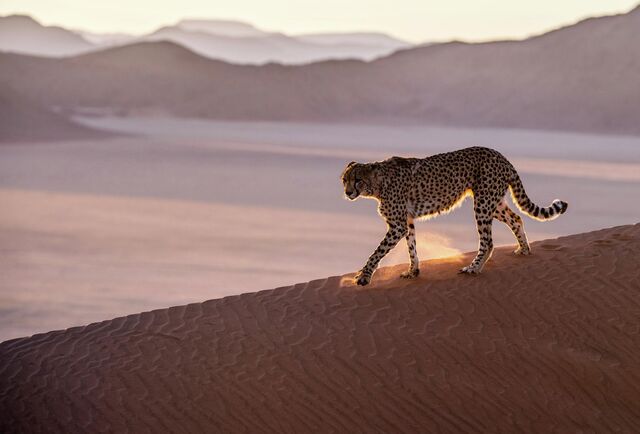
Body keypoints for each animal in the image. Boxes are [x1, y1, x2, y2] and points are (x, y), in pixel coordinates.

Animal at [341, 146, 568, 286]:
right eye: (344, 180)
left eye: (358, 180)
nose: (348, 192)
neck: (377, 184)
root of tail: (499, 155)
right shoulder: (407, 221)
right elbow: (411, 246)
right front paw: (413, 271)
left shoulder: (397, 225)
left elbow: (377, 252)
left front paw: (363, 276)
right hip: (493, 202)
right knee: (516, 219)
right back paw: (524, 249)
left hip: (483, 203)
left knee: (488, 241)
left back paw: (474, 268)